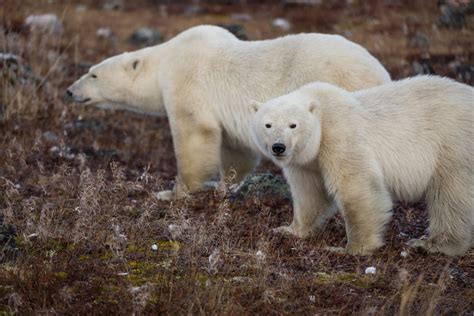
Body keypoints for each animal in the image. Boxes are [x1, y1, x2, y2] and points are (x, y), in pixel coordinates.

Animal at [67, 24, 392, 199]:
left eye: (93, 73)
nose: (70, 91)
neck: (166, 59)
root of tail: (381, 73)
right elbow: (236, 148)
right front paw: (226, 187)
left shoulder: (188, 80)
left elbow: (195, 131)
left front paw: (174, 192)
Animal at [250, 75, 472, 256]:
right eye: (268, 124)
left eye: (293, 125)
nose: (279, 147)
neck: (322, 109)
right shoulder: (306, 162)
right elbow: (310, 194)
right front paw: (289, 230)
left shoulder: (339, 133)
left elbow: (355, 187)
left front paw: (351, 248)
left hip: (453, 145)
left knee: (450, 195)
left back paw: (431, 244)